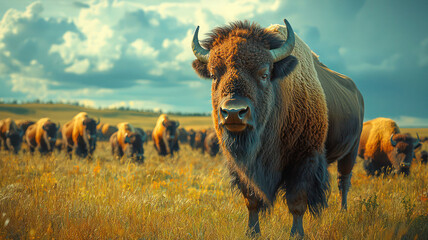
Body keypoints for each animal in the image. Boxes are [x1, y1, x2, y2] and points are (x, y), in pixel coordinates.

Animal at [192, 18, 362, 236]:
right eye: (214, 75)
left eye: (264, 74)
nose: (233, 112)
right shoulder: (244, 167)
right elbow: (252, 200)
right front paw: (252, 232)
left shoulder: (304, 158)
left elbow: (297, 201)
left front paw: (297, 234)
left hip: (351, 151)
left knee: (344, 181)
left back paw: (343, 211)